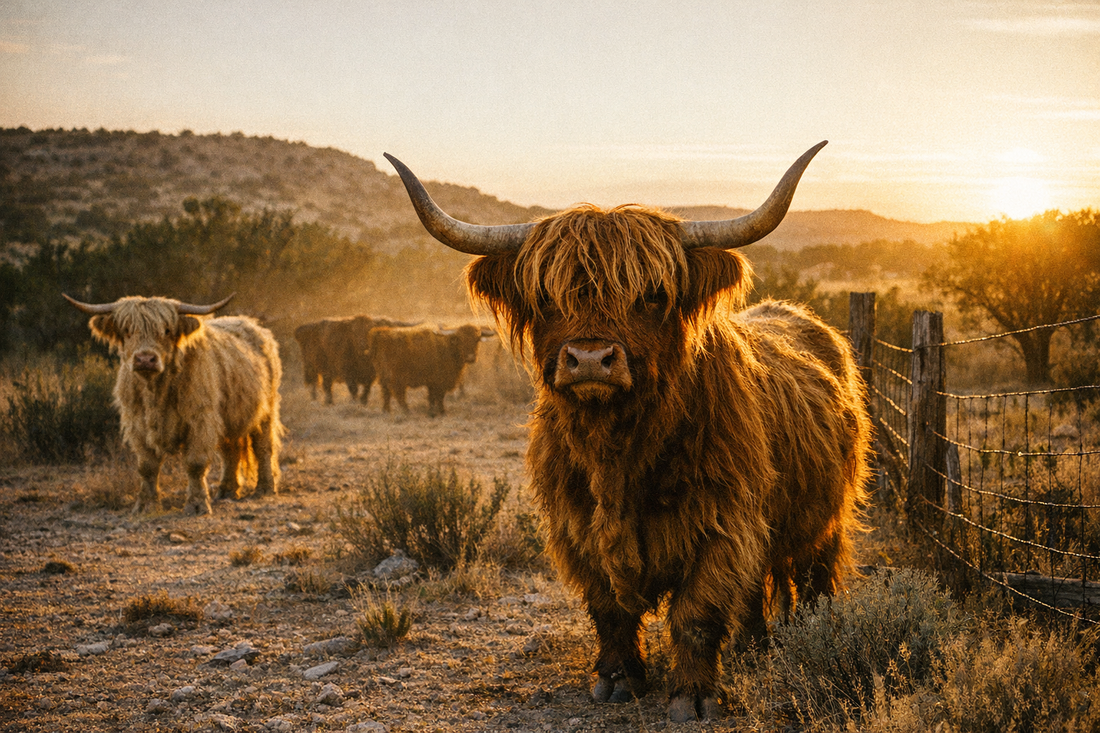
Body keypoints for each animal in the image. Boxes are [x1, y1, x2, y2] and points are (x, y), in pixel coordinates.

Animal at [63, 293, 283, 516]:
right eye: (127, 330)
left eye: (167, 330)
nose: (145, 359)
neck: (156, 392)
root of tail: (252, 324)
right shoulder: (137, 423)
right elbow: (147, 467)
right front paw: (145, 505)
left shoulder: (201, 419)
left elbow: (195, 463)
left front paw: (197, 505)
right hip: (228, 416)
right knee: (230, 450)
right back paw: (226, 491)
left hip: (266, 410)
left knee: (263, 447)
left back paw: (264, 488)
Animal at [385, 142, 872, 722]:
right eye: (545, 298)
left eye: (652, 295)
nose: (590, 359)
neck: (616, 454)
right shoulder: (577, 526)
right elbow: (609, 609)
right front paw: (618, 680)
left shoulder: (722, 523)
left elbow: (697, 612)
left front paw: (692, 696)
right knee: (756, 590)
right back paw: (754, 648)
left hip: (827, 515)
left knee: (815, 575)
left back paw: (814, 633)